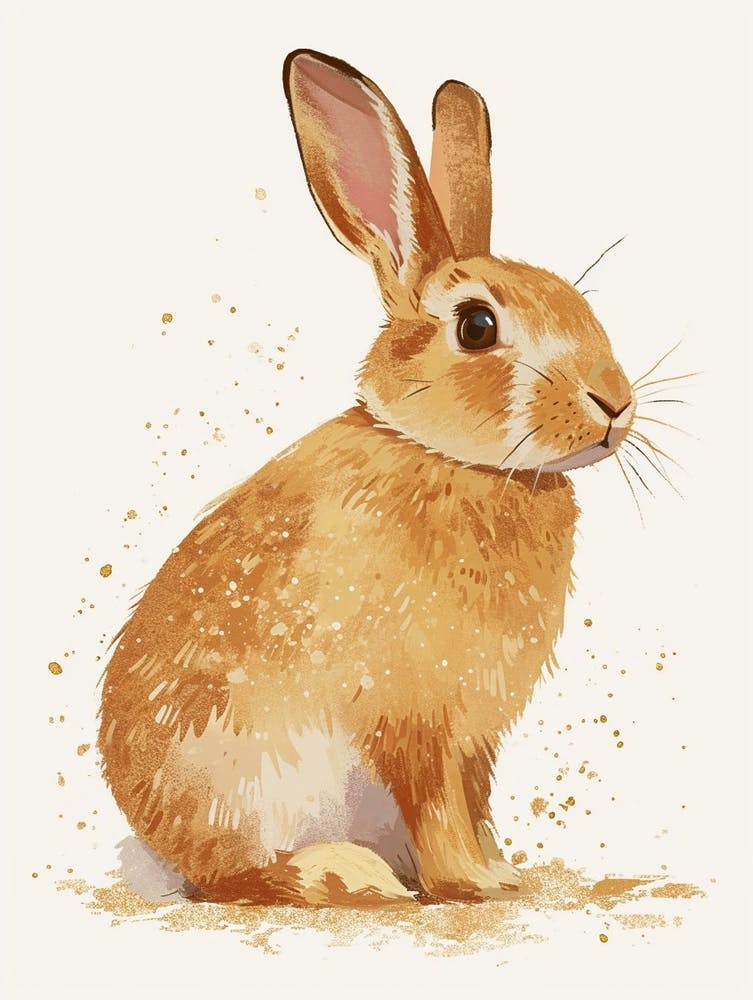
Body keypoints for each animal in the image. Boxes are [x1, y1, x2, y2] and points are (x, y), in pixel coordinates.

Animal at [98, 49, 636, 907]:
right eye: (477, 326)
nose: (615, 404)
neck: (454, 462)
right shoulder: (415, 717)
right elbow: (438, 808)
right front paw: (473, 885)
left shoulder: (474, 736)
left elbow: (471, 805)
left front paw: (499, 870)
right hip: (245, 778)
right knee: (241, 877)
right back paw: (345, 872)